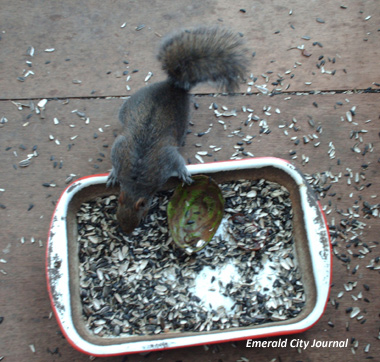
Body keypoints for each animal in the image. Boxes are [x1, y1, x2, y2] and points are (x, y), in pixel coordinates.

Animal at [107, 26, 249, 235]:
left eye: (140, 219)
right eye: (117, 213)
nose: (125, 231)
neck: (136, 180)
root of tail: (173, 86)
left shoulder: (165, 161)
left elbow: (177, 162)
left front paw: (184, 174)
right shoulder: (121, 150)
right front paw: (112, 175)